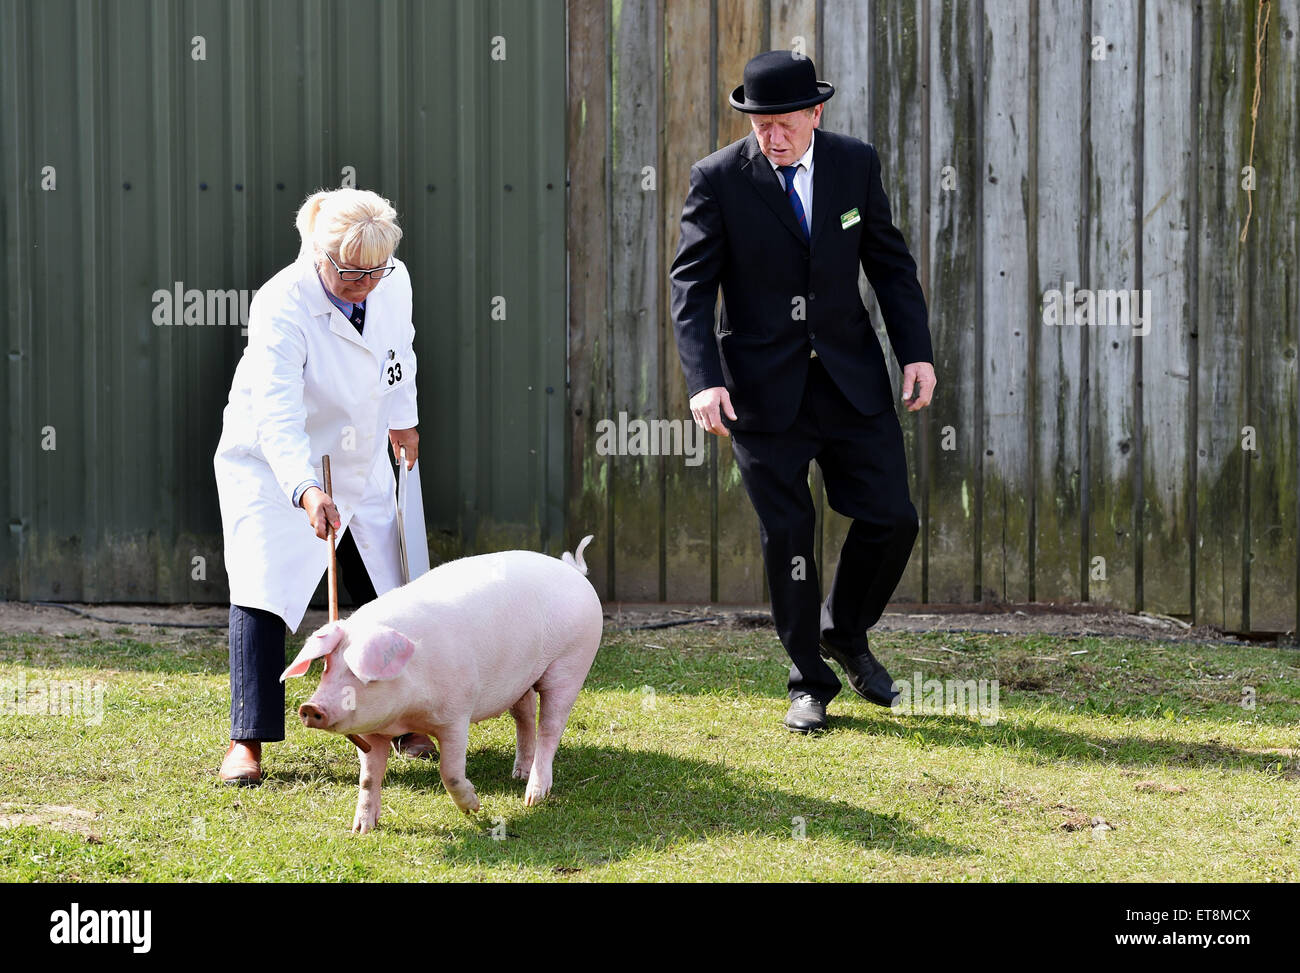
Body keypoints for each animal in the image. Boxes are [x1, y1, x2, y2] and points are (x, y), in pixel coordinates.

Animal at [282, 535, 600, 832]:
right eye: (328, 667)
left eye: (361, 673)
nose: (310, 707)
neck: (406, 713)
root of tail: (573, 570)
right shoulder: (372, 731)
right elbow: (369, 778)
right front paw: (361, 829)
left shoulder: (456, 714)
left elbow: (450, 771)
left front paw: (473, 809)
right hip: (521, 680)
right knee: (525, 719)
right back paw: (518, 774)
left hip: (571, 664)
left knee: (550, 727)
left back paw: (533, 798)